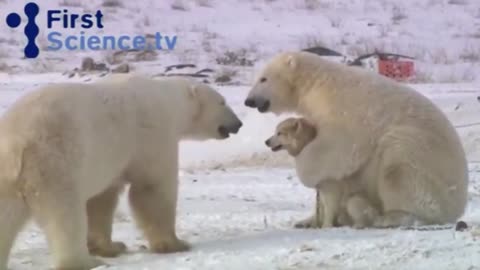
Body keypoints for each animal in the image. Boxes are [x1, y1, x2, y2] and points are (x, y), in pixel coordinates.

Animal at [0, 75, 242, 270]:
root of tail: (15, 142)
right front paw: (176, 243)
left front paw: (111, 246)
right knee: (65, 215)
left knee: (6, 217)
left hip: (9, 179)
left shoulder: (109, 161)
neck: (168, 100)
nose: (238, 123)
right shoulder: (153, 136)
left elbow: (102, 200)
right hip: (54, 162)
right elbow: (152, 189)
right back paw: (84, 262)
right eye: (222, 102)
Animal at [246, 51, 466, 229]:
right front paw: (307, 219)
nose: (248, 101)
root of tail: (458, 207)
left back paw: (392, 217)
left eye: (263, 79)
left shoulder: (345, 111)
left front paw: (306, 169)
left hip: (427, 164)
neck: (318, 82)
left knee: (398, 163)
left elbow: (338, 146)